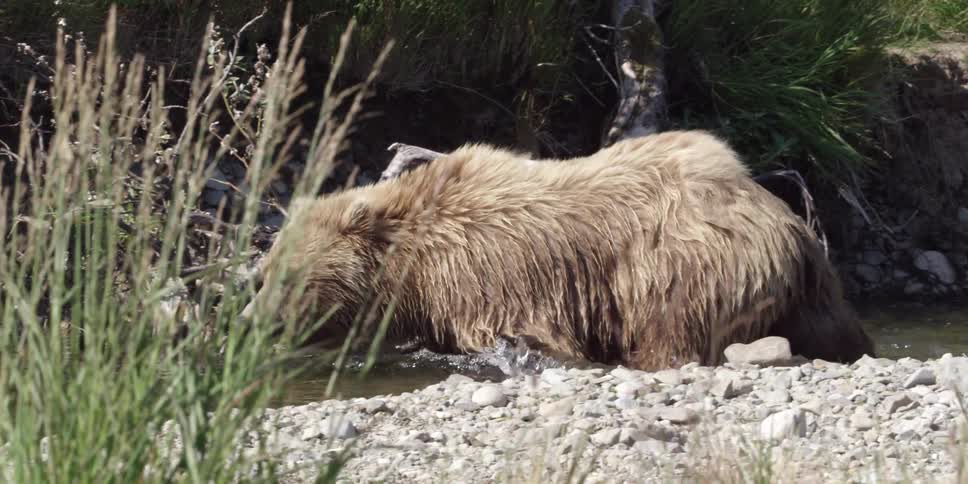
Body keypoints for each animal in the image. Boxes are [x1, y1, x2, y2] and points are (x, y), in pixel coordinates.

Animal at [241, 130, 875, 370]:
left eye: (285, 277)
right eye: (263, 272)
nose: (249, 318)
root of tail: (785, 219)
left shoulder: (489, 273)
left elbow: (520, 332)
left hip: (685, 265)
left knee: (671, 328)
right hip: (814, 290)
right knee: (836, 328)